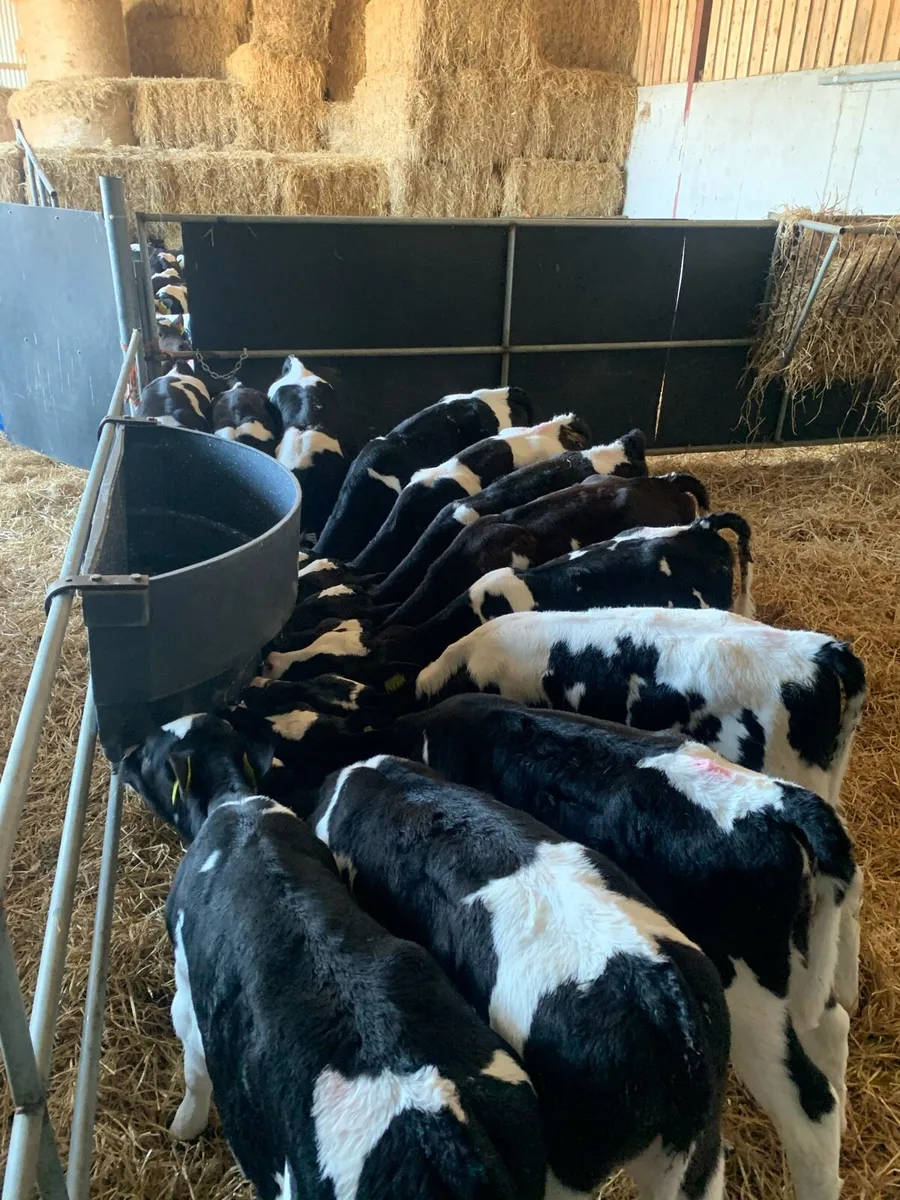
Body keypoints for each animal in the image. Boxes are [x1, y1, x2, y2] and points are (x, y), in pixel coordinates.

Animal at [121, 716, 546, 1200]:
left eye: (150, 755)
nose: (122, 759)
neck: (236, 804)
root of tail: (440, 1125)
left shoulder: (188, 992)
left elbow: (195, 1073)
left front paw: (182, 1127)